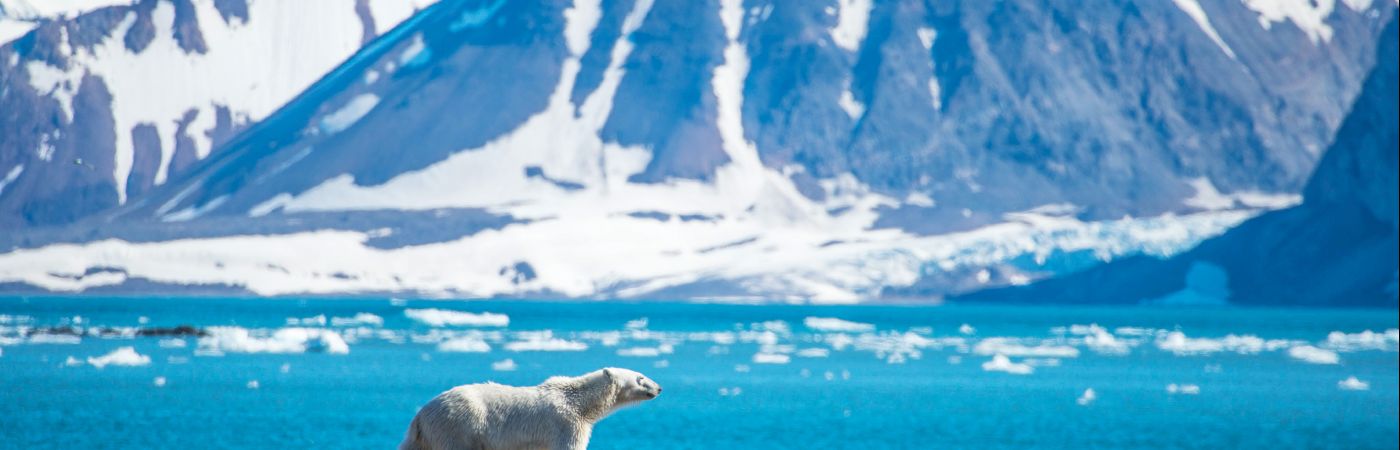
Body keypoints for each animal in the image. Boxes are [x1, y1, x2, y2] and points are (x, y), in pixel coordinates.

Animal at [403, 367, 663, 445]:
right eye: (640, 377)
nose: (659, 388)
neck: (579, 403)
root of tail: (421, 414)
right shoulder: (566, 425)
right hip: (458, 426)